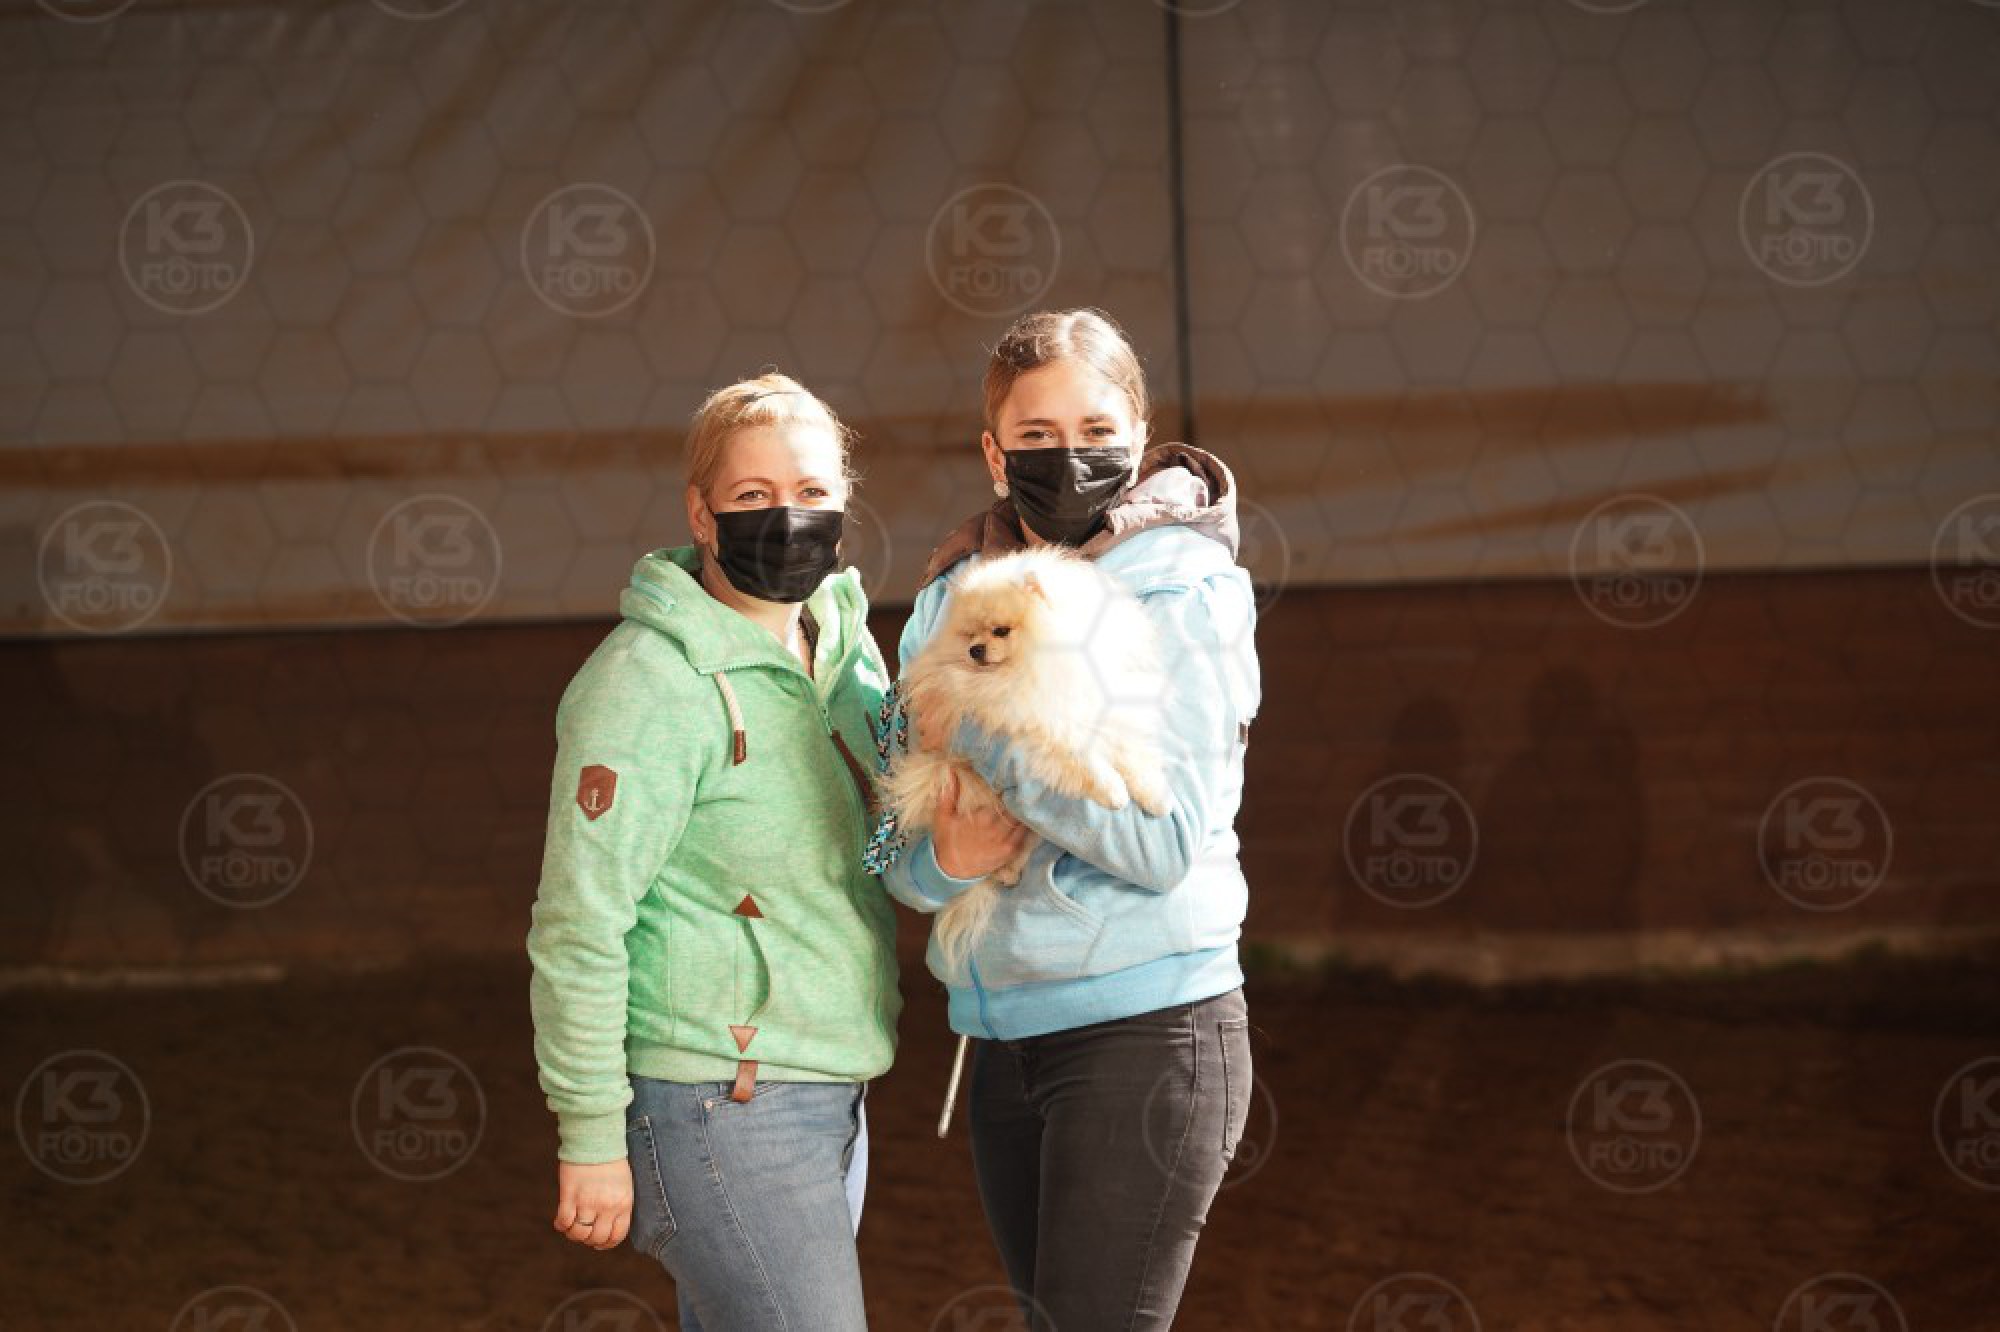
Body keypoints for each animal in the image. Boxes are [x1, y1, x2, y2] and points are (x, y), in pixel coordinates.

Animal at [882, 545, 1170, 970]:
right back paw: (1005, 870)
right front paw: (1114, 791)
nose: (975, 650)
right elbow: (1084, 760)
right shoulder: (1040, 727)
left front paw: (1155, 797)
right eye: (970, 634)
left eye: (1001, 631)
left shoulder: (1099, 710)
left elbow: (1128, 752)